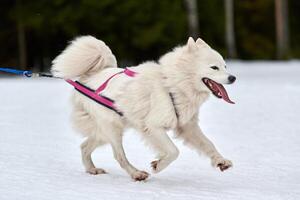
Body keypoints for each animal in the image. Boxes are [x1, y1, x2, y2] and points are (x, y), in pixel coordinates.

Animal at [51, 36, 236, 181]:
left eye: (225, 66)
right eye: (214, 67)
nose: (233, 78)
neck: (173, 85)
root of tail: (90, 75)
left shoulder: (187, 127)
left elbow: (208, 144)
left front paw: (221, 161)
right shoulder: (153, 126)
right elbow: (173, 151)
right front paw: (158, 165)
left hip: (105, 131)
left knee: (84, 146)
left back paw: (92, 169)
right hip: (112, 129)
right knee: (119, 156)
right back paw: (136, 174)